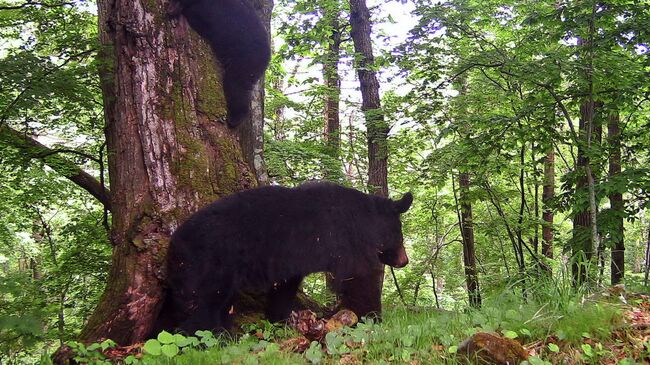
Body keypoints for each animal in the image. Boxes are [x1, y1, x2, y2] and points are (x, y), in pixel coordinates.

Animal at [157, 181, 410, 332]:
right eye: (400, 233)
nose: (404, 260)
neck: (364, 219)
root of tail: (173, 245)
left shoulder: (290, 264)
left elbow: (284, 289)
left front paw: (279, 318)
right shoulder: (345, 242)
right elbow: (360, 278)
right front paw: (372, 318)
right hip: (207, 265)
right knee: (200, 308)